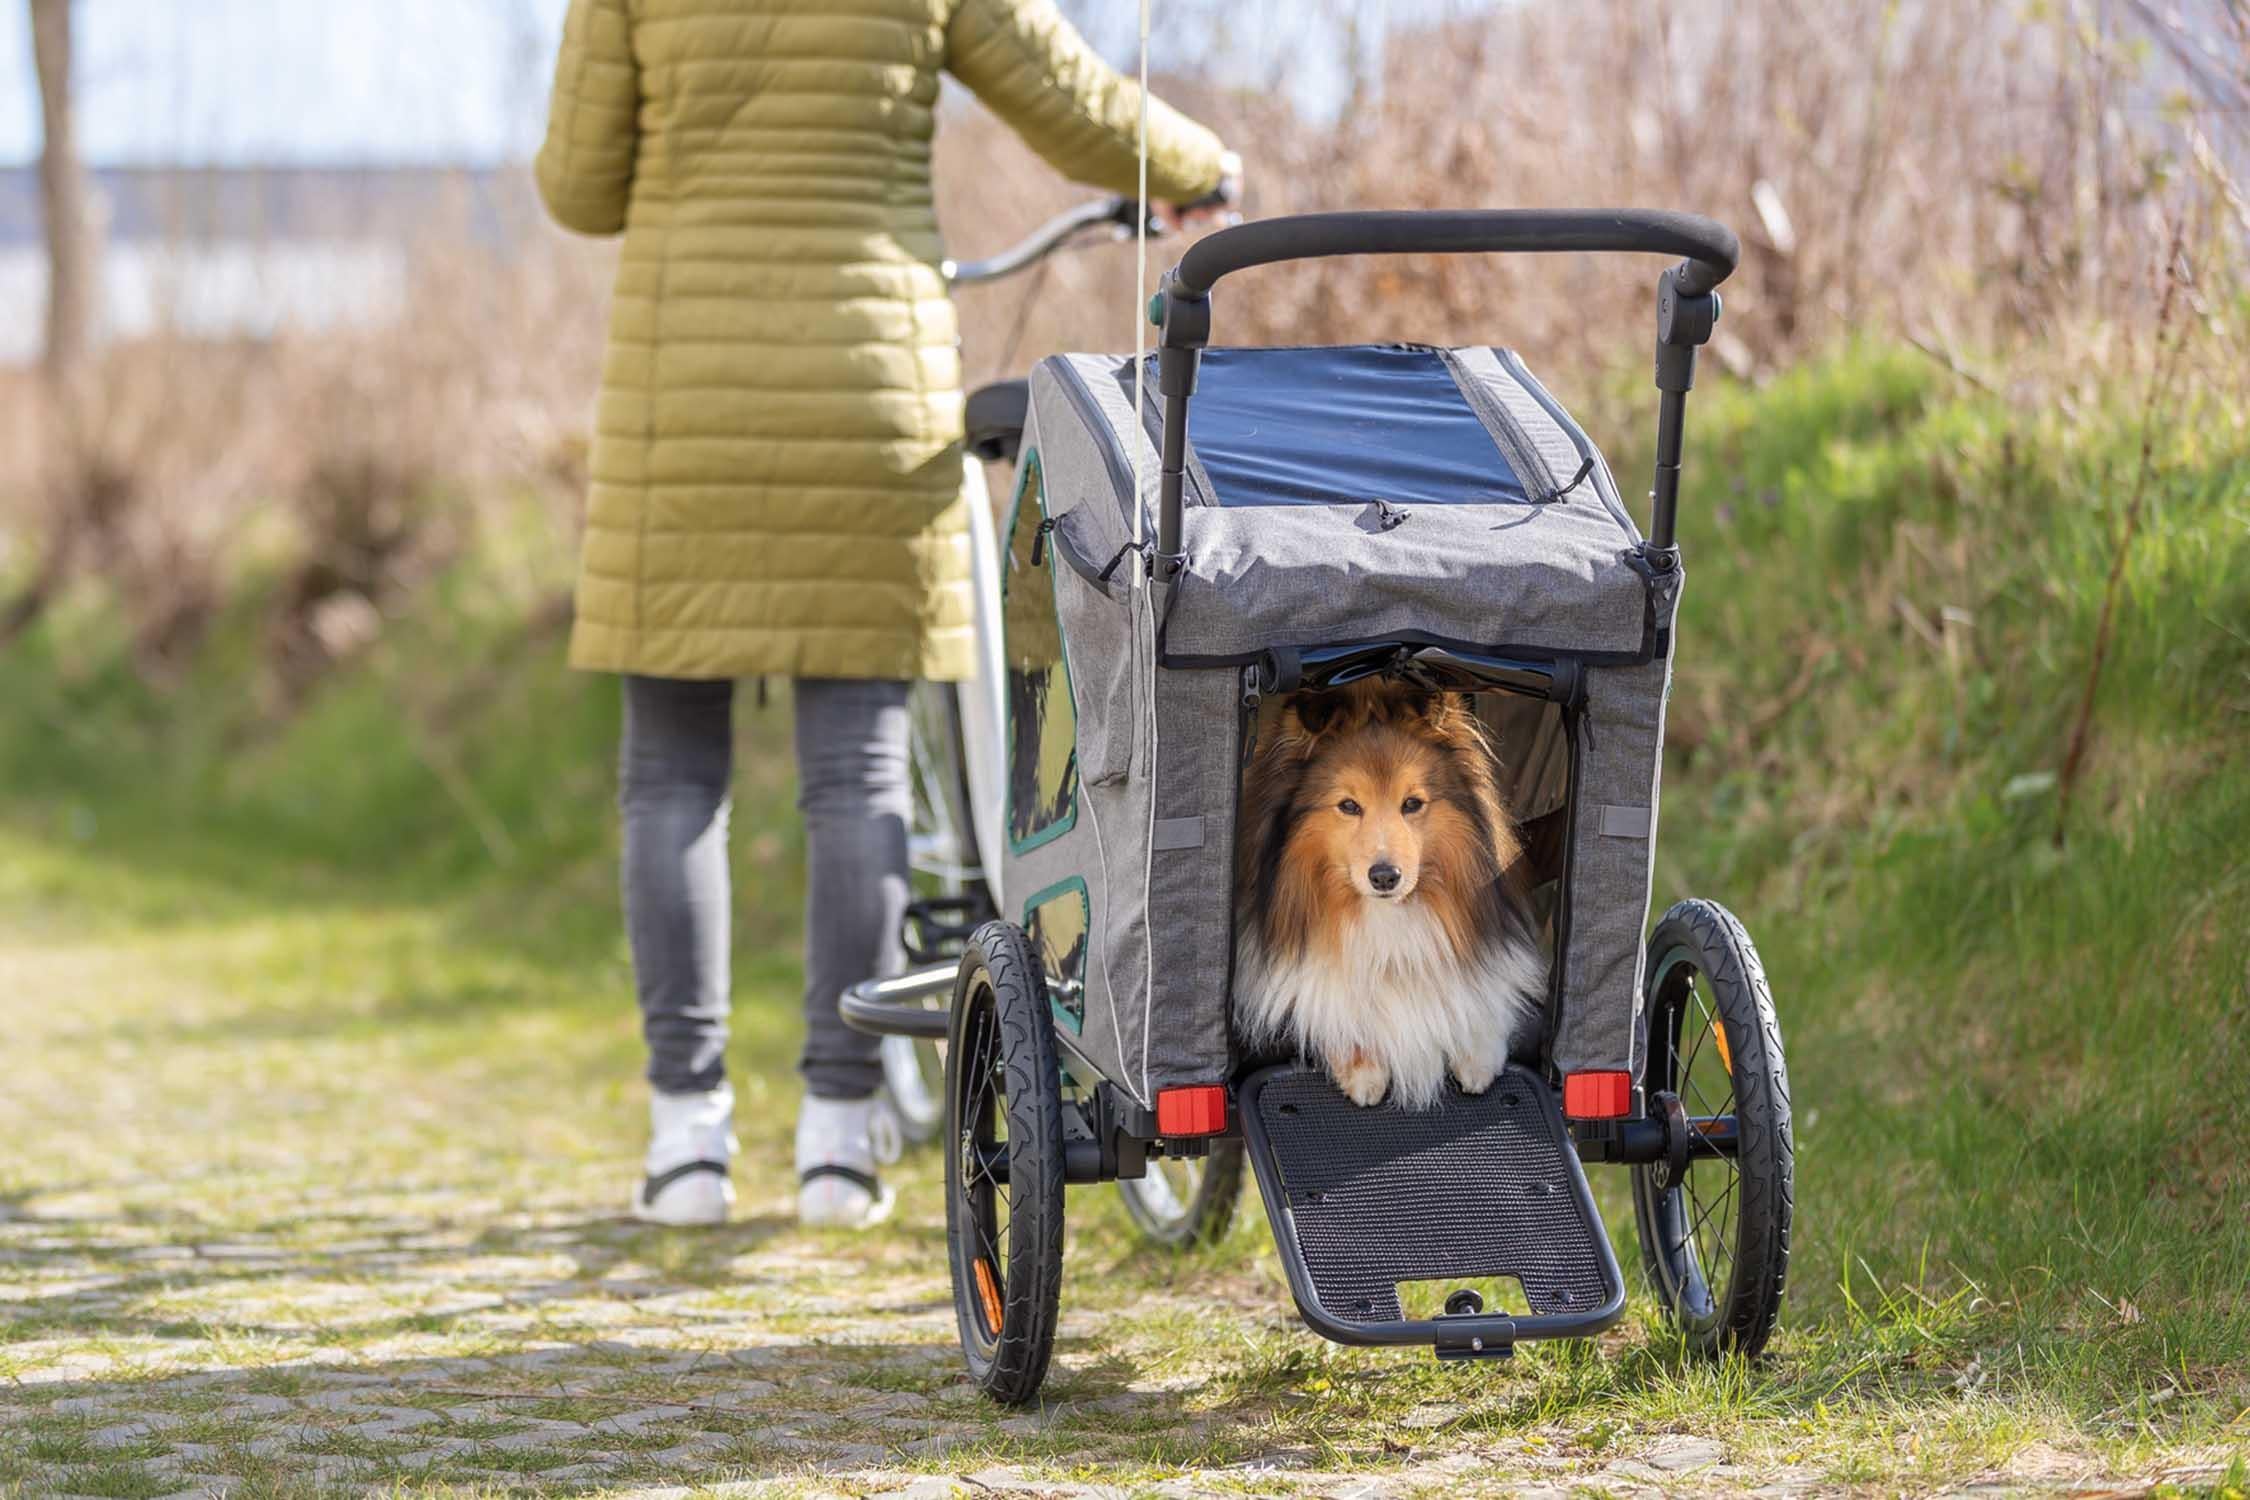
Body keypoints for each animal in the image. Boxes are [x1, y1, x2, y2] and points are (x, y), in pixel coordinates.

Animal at [1233, 688, 1548, 1110]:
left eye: (1412, 803)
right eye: (1349, 805)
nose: (1385, 877)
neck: (1386, 917)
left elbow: (1478, 994)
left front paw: (1478, 1055)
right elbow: (1327, 1005)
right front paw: (1363, 1068)